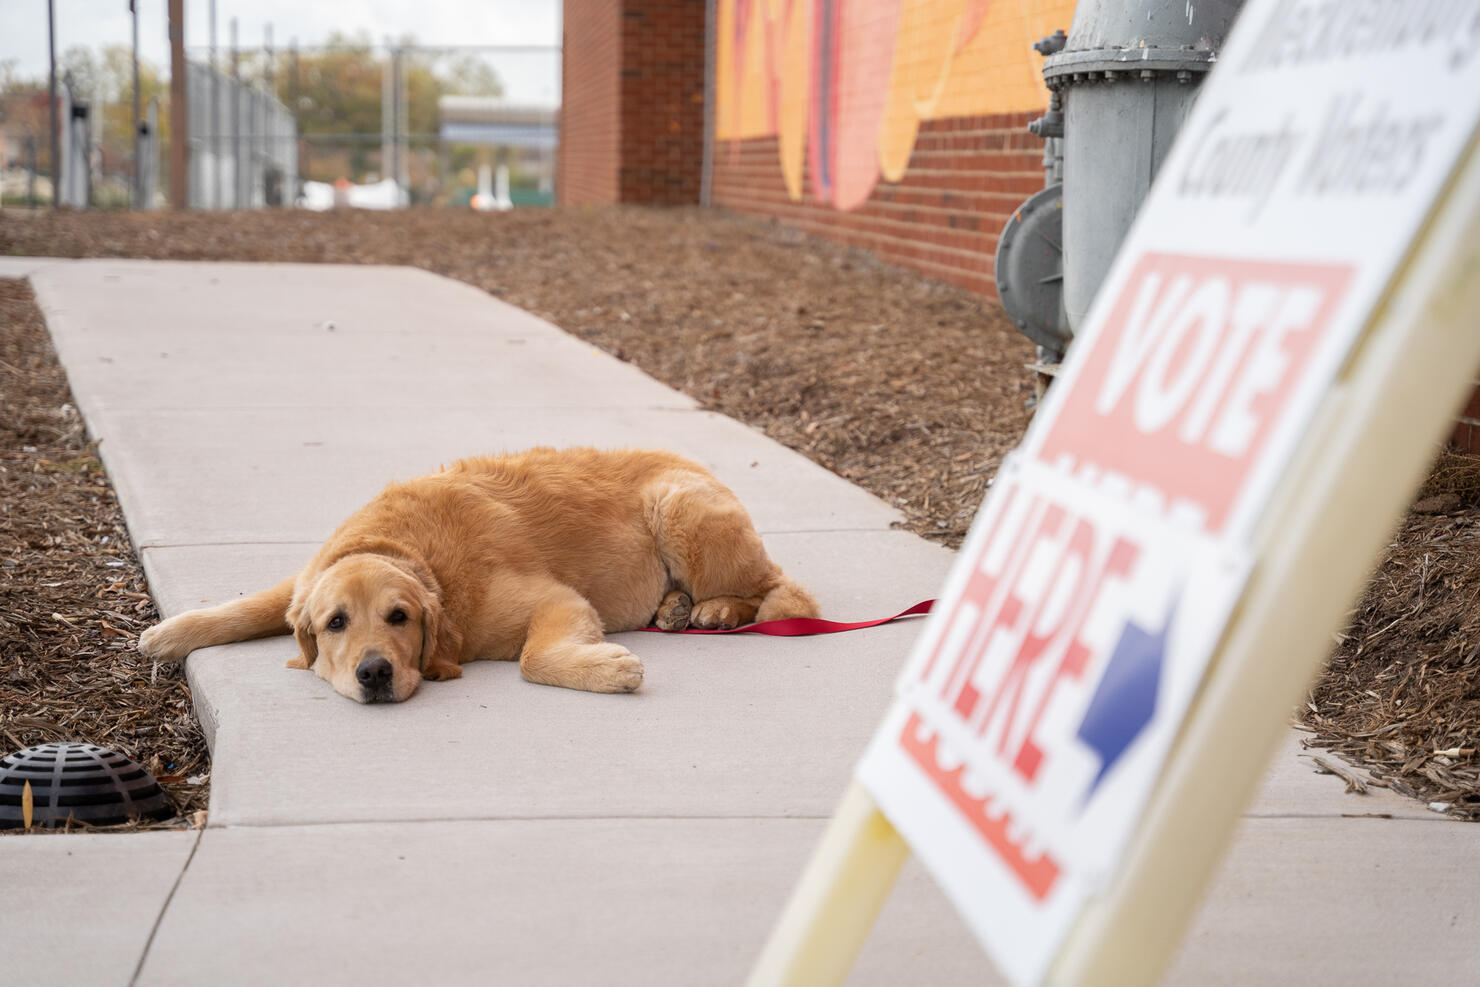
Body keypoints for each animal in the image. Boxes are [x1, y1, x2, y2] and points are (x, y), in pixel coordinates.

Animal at [139, 446, 822, 701]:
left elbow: (533, 658)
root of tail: (697, 462)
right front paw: (169, 633)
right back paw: (678, 608)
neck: (409, 551)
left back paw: (718, 609)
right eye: (335, 623)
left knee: (788, 595)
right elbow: (249, 604)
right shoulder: (306, 579)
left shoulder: (556, 600)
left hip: (680, 510)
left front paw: (609, 669)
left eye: (399, 617)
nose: (374, 674)